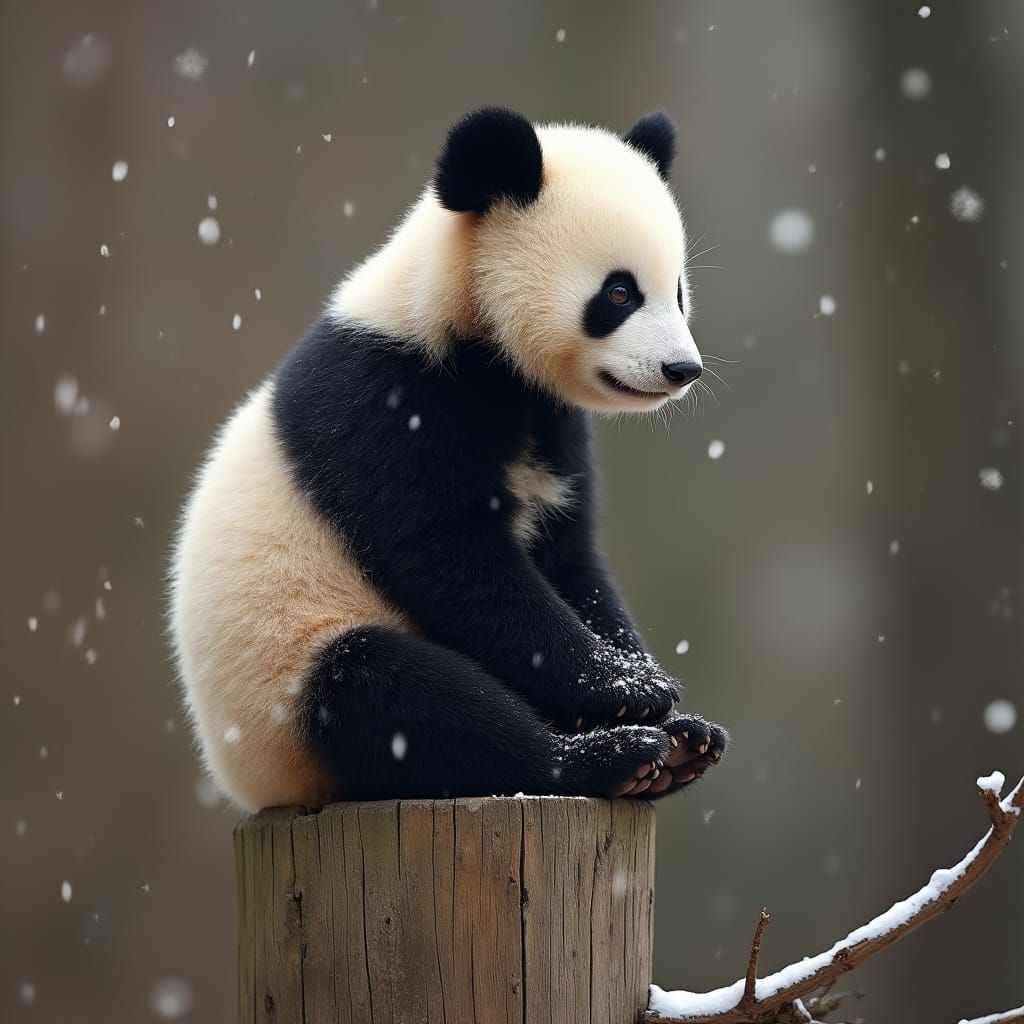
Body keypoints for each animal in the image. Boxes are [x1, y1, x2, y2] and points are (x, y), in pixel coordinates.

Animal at [170, 107, 728, 811]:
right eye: (620, 294)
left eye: (677, 291)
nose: (682, 369)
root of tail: (255, 788)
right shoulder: (390, 401)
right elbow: (448, 554)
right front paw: (627, 691)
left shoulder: (554, 430)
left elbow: (572, 560)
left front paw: (649, 691)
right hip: (284, 683)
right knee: (397, 698)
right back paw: (604, 760)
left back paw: (680, 747)